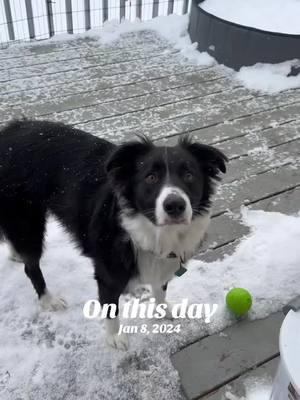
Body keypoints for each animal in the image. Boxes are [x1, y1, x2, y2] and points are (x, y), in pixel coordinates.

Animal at [0, 119, 226, 350]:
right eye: (150, 177)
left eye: (189, 175)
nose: (175, 205)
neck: (153, 230)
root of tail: (12, 128)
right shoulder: (107, 274)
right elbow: (110, 307)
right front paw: (115, 336)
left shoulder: (165, 262)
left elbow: (160, 288)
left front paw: (163, 309)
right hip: (27, 223)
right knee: (31, 267)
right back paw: (48, 300)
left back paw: (16, 254)